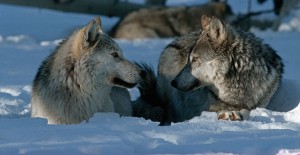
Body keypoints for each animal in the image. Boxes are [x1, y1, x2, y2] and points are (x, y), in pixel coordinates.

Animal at [134, 14, 284, 123]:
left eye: (194, 59)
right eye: (188, 59)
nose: (173, 82)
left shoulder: (258, 104)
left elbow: (248, 111)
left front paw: (236, 113)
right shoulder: (206, 108)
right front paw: (228, 114)